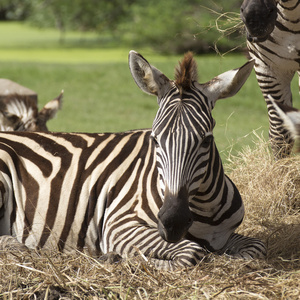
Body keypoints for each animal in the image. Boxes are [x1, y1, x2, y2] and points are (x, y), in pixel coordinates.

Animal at [0, 51, 266, 270]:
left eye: (206, 140)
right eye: (155, 139)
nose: (174, 222)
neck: (202, 210)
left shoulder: (226, 236)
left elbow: (256, 248)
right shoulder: (118, 224)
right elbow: (190, 253)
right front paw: (118, 259)